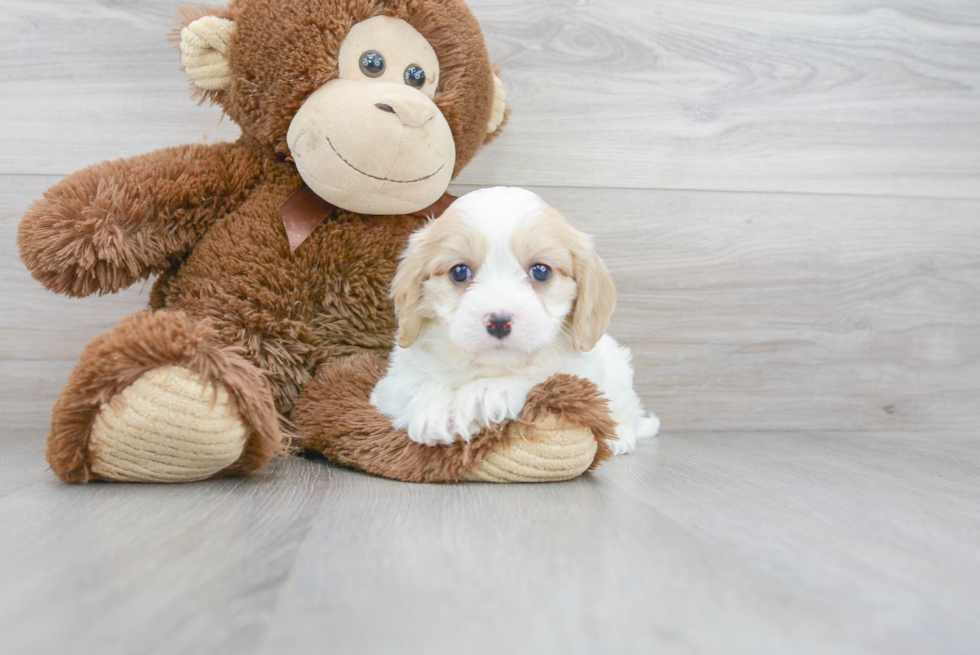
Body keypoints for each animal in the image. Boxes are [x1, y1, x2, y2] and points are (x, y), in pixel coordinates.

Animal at [372, 186, 664, 456]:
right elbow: (417, 384)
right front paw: (439, 413)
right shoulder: (391, 383)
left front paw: (488, 392)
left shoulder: (579, 375)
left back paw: (619, 438)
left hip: (619, 374)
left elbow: (540, 377)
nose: (499, 322)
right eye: (459, 272)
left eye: (541, 271)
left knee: (627, 412)